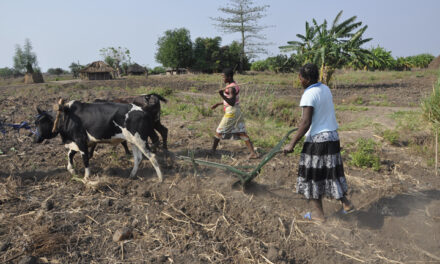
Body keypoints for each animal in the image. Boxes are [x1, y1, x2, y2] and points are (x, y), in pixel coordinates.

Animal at [33, 99, 162, 182]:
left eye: (41, 122)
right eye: (35, 122)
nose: (34, 139)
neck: (66, 116)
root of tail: (144, 110)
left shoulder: (80, 140)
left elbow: (85, 159)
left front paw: (86, 177)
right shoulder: (77, 142)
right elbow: (70, 154)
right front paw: (72, 170)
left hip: (141, 140)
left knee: (152, 156)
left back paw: (160, 179)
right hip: (134, 141)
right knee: (138, 158)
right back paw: (132, 175)